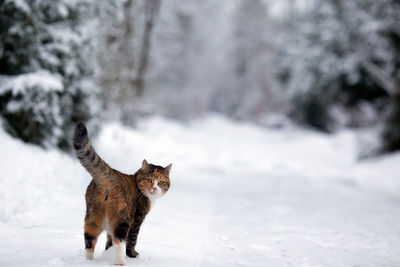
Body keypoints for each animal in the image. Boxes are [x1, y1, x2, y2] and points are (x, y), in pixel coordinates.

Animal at [72, 123, 171, 266]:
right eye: (149, 180)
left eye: (161, 182)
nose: (154, 188)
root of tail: (109, 179)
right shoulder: (137, 219)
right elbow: (132, 240)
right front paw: (133, 255)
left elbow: (109, 240)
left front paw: (107, 252)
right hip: (122, 216)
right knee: (119, 240)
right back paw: (120, 262)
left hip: (93, 214)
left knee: (89, 239)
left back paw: (89, 261)